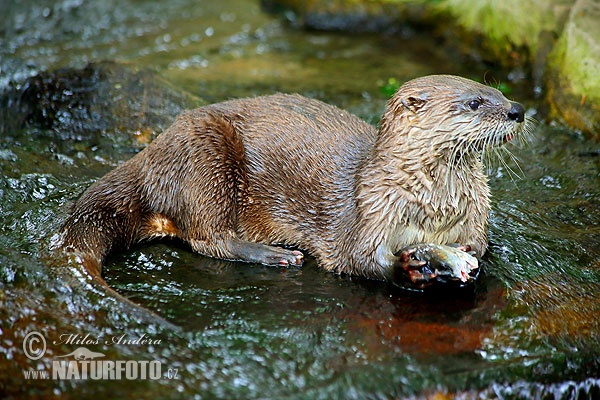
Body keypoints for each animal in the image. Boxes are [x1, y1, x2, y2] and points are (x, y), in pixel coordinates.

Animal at [58, 75, 524, 288]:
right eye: (474, 102)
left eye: (498, 89)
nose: (517, 110)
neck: (433, 208)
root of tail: (150, 154)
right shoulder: (370, 212)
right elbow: (359, 260)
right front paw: (409, 268)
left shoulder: (477, 215)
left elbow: (480, 245)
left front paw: (463, 258)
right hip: (206, 160)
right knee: (206, 237)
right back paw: (275, 255)